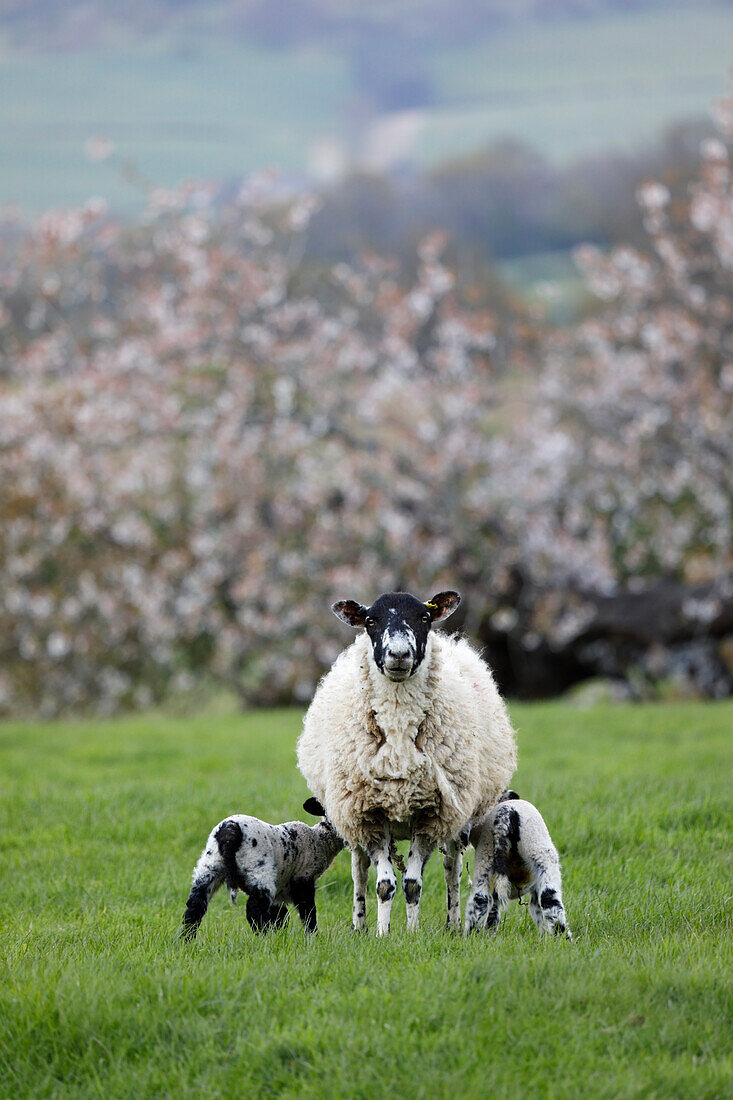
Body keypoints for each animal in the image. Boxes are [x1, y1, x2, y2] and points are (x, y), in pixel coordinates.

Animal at [181, 796, 343, 941]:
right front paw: (312, 937)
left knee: (195, 905)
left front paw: (280, 935)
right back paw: (264, 938)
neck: (320, 839)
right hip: (258, 867)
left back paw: (186, 939)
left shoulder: (280, 889)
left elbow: (280, 916)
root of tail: (229, 831)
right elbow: (308, 912)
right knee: (254, 908)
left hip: (210, 865)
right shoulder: (303, 878)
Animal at [294, 589, 512, 932]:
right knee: (359, 870)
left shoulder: (432, 814)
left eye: (424, 617)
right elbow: (384, 884)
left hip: (458, 819)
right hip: (351, 820)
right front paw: (382, 934)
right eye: (371, 620)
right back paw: (359, 924)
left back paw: (452, 923)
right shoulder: (367, 814)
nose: (398, 654)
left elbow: (413, 883)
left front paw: (412, 933)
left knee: (451, 868)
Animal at [462, 792, 572, 937]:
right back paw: (562, 939)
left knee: (480, 899)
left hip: (487, 856)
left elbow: (493, 915)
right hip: (540, 854)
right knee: (550, 899)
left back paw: (470, 936)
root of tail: (507, 813)